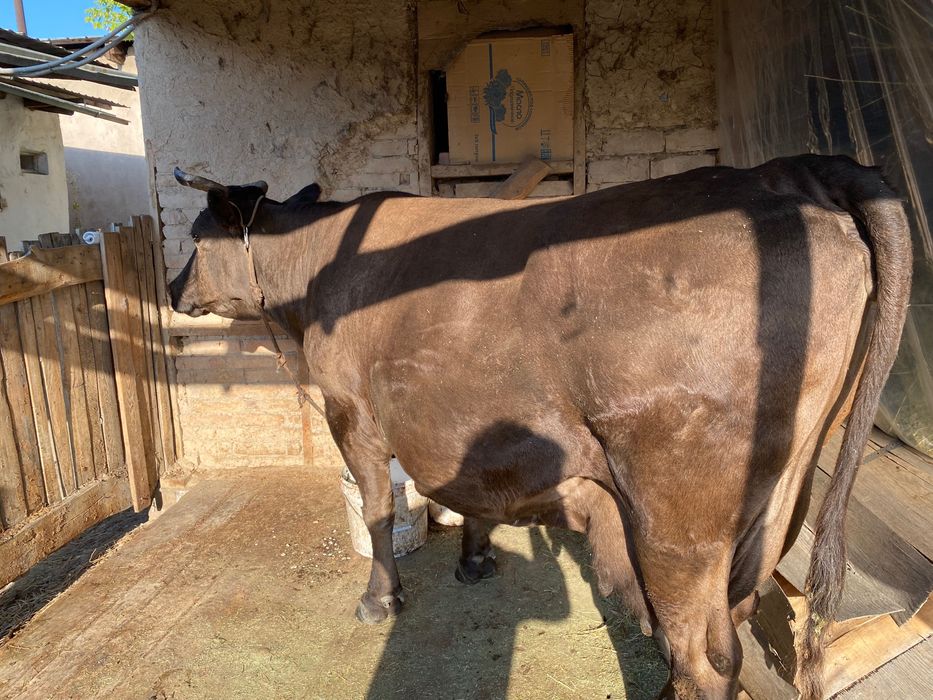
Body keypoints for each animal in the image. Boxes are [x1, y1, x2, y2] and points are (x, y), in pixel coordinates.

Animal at [169, 155, 911, 699]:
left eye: (196, 238)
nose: (174, 289)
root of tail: (784, 175)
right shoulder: (459, 419)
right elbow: (467, 491)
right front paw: (474, 561)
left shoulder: (348, 407)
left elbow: (379, 508)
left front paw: (380, 600)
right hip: (781, 494)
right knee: (731, 618)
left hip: (677, 519)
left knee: (705, 657)